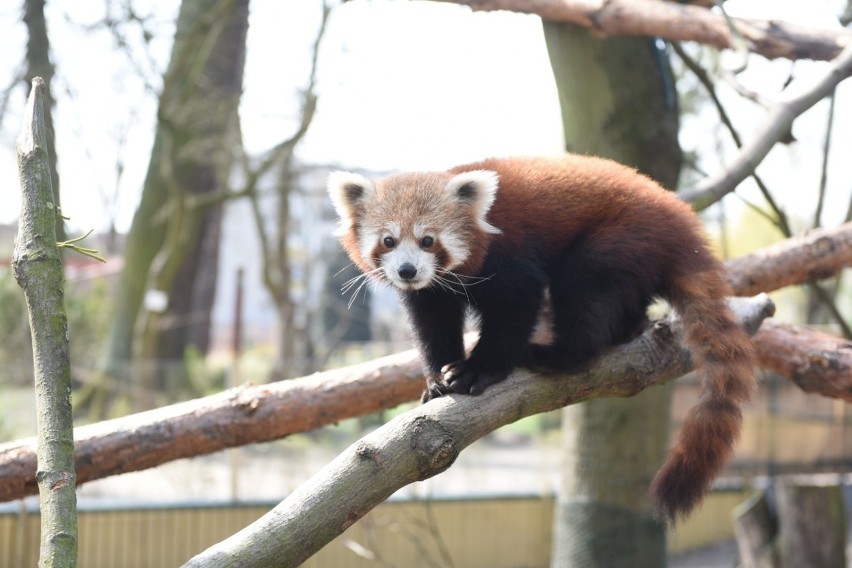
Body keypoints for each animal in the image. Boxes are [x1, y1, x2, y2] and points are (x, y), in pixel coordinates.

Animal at [326, 153, 752, 520]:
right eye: (389, 241)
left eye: (428, 240)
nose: (408, 270)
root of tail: (678, 217)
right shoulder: (432, 292)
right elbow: (433, 324)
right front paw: (436, 381)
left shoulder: (510, 253)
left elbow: (515, 308)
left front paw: (476, 371)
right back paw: (626, 330)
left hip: (618, 237)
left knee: (583, 290)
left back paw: (559, 354)